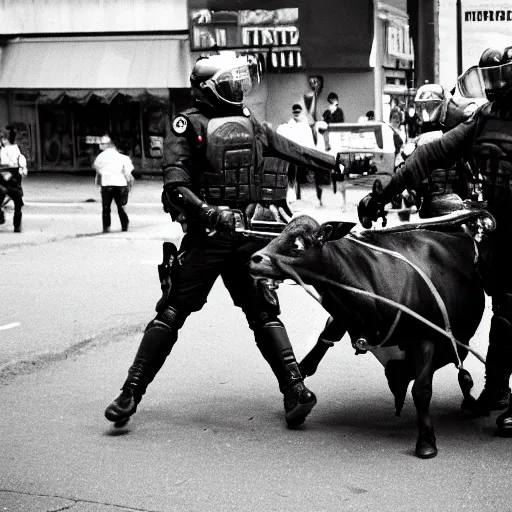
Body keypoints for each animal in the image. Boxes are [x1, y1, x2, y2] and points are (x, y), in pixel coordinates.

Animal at [249, 212, 492, 460]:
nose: (254, 259)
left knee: (463, 375)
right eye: (280, 233)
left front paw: (426, 441)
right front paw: (297, 396)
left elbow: (422, 391)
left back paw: (472, 402)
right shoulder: (345, 318)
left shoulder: (426, 339)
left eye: (298, 244)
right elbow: (318, 348)